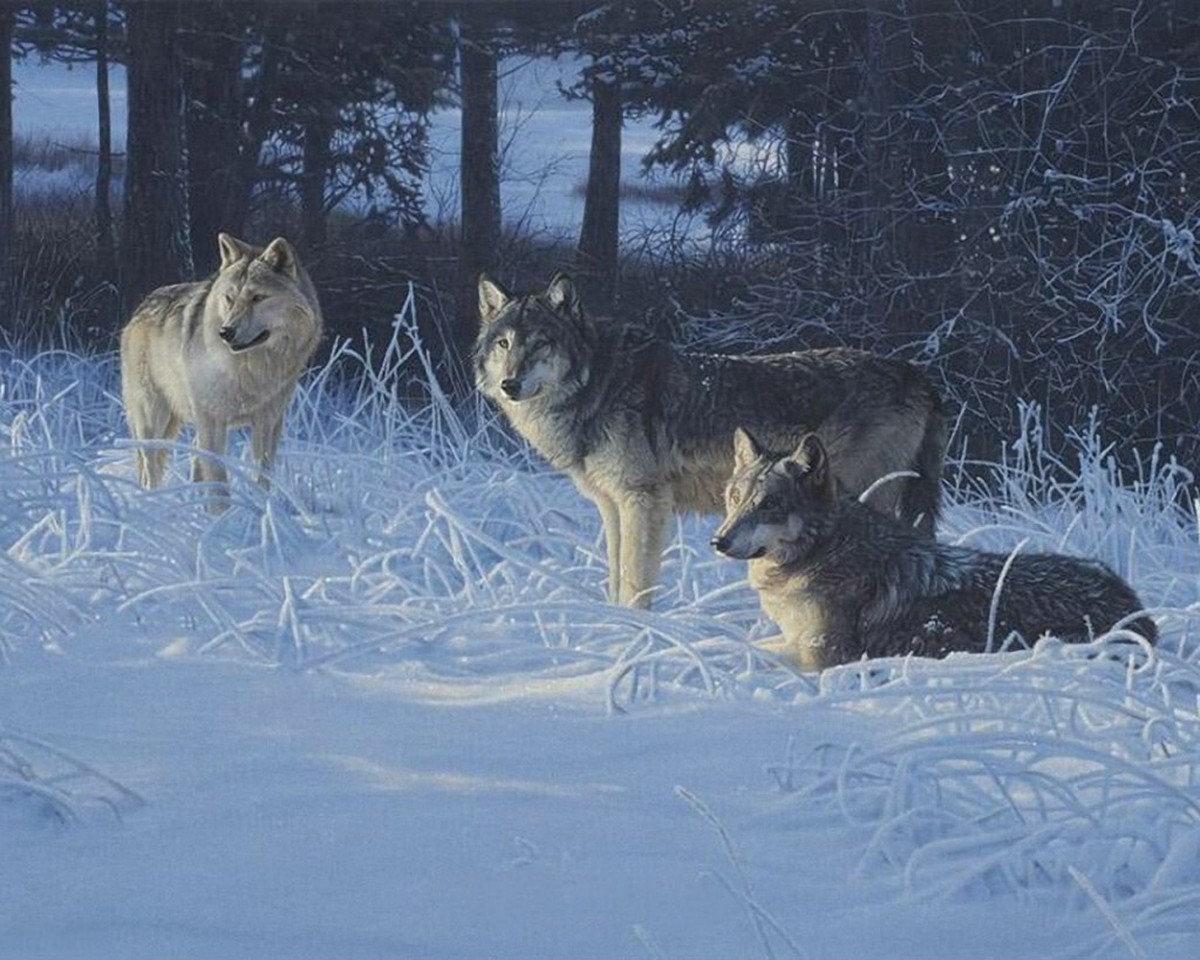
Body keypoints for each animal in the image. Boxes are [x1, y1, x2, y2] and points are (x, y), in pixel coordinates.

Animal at [472, 270, 940, 612]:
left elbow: (636, 583)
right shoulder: (612, 506)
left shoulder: (643, 501)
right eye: (504, 343)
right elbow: (616, 575)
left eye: (541, 344)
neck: (598, 385)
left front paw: (639, 628)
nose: (510, 384)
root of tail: (916, 373)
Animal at [705, 427, 1156, 667]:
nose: (718, 541)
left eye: (769, 505)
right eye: (735, 499)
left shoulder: (821, 658)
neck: (825, 551)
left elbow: (747, 650)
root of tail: (1138, 610)